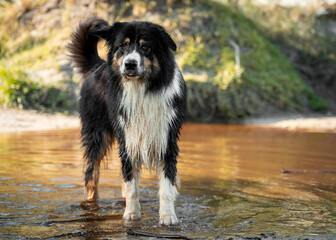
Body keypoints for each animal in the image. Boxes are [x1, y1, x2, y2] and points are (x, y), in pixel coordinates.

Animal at [68, 18, 186, 225]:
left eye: (146, 47)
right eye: (123, 45)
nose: (130, 64)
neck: (142, 89)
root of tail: (98, 65)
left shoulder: (167, 140)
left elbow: (166, 184)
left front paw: (168, 216)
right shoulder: (128, 138)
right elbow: (131, 183)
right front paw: (131, 214)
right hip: (96, 135)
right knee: (92, 175)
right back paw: (91, 204)